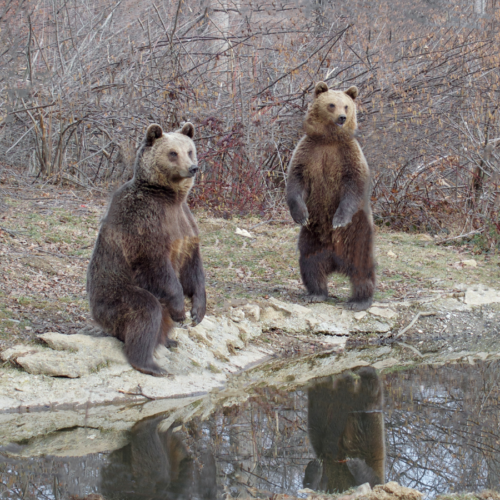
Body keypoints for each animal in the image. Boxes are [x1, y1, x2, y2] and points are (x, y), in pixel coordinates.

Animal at [87, 123, 206, 376]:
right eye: (173, 153)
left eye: (190, 150)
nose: (192, 168)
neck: (169, 197)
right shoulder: (144, 221)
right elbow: (156, 264)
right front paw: (181, 310)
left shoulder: (186, 223)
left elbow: (193, 266)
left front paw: (197, 312)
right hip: (115, 295)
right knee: (146, 311)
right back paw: (150, 363)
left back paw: (169, 340)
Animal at [286, 81, 376, 308]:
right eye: (331, 104)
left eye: (347, 106)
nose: (342, 118)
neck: (329, 139)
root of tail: (336, 261)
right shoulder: (308, 153)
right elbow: (295, 182)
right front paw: (301, 215)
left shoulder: (349, 156)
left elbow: (354, 185)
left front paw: (338, 219)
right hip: (312, 238)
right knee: (310, 263)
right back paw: (316, 293)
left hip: (359, 233)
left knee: (362, 267)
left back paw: (359, 300)